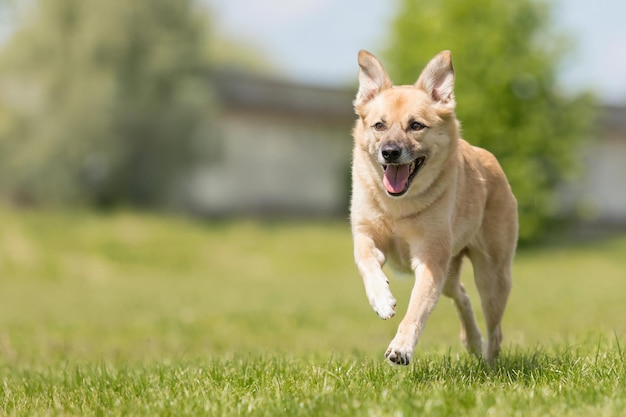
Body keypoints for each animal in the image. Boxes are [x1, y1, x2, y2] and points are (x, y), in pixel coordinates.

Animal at [352, 49, 516, 364]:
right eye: (379, 125)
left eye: (416, 125)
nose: (389, 152)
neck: (398, 206)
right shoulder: (366, 235)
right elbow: (366, 262)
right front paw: (382, 300)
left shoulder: (430, 260)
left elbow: (417, 309)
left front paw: (401, 348)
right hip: (451, 273)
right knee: (461, 294)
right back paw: (472, 341)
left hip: (492, 277)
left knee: (496, 330)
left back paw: (489, 362)